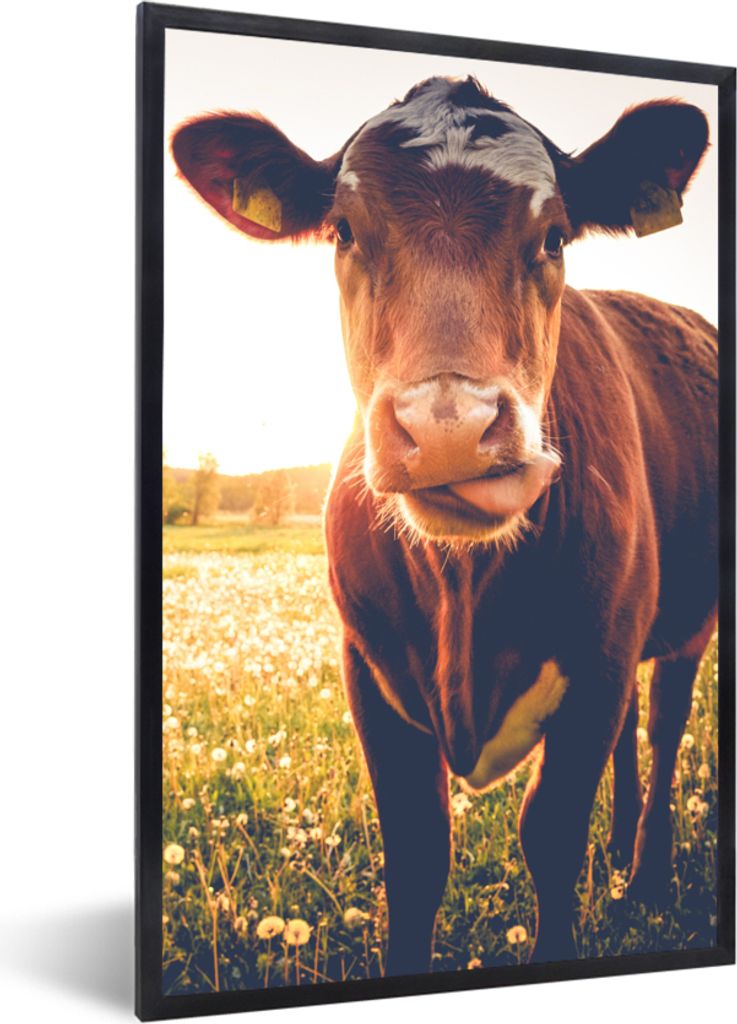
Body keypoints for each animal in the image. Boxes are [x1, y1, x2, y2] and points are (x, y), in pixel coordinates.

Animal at [171, 76, 717, 974]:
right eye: (344, 230)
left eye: (554, 235)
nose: (449, 430)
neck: (465, 588)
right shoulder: (368, 668)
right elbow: (418, 852)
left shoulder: (597, 662)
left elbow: (550, 835)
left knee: (667, 725)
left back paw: (644, 877)